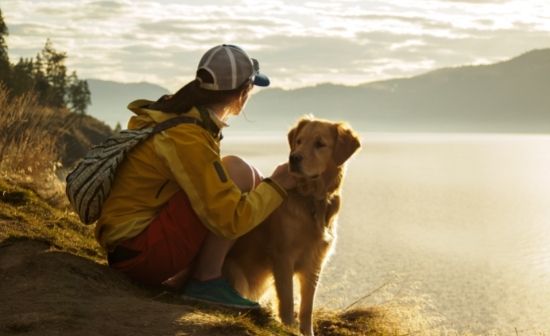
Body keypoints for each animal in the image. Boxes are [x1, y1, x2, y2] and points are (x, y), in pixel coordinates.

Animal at [224, 117, 362, 334]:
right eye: (299, 141)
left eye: (320, 144)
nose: (294, 158)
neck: (312, 199)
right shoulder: (283, 257)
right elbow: (288, 301)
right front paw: (288, 328)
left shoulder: (314, 262)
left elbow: (307, 307)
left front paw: (306, 331)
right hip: (236, 274)